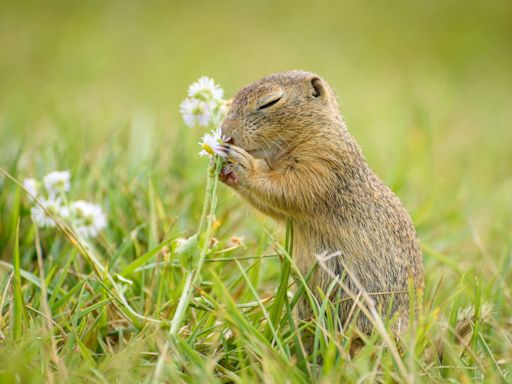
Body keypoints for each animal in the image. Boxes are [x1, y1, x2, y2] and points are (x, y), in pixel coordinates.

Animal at [220, 70, 424, 334]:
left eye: (270, 102)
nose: (225, 134)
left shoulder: (324, 162)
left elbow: (292, 190)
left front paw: (244, 166)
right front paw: (227, 172)